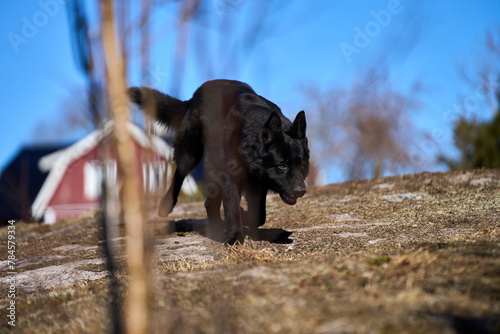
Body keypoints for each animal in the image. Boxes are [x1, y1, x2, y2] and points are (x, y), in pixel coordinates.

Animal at [129, 80, 308, 244]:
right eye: (282, 165)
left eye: (301, 166)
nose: (301, 191)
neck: (251, 138)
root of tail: (194, 95)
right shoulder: (231, 178)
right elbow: (233, 208)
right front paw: (234, 240)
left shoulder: (258, 181)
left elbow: (259, 216)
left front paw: (243, 219)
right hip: (191, 154)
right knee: (179, 174)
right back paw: (167, 206)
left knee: (210, 203)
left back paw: (217, 228)